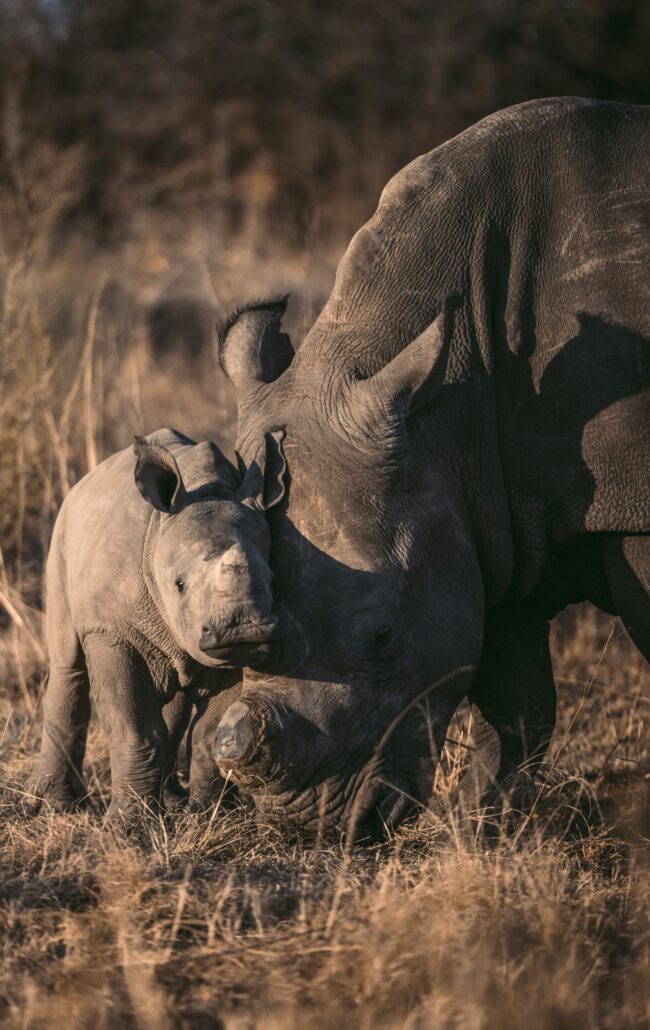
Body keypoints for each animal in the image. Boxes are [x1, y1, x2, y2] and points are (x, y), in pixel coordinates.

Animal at [30, 427, 285, 816]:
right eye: (178, 584)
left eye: (272, 581)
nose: (243, 629)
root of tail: (81, 485)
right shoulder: (112, 632)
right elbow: (131, 728)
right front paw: (129, 822)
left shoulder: (228, 653)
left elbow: (209, 732)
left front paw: (210, 816)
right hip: (61, 534)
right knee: (67, 663)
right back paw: (58, 807)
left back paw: (173, 801)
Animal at [210, 97, 650, 838]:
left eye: (383, 636)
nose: (309, 828)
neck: (450, 412)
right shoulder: (487, 517)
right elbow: (519, 704)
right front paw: (486, 825)